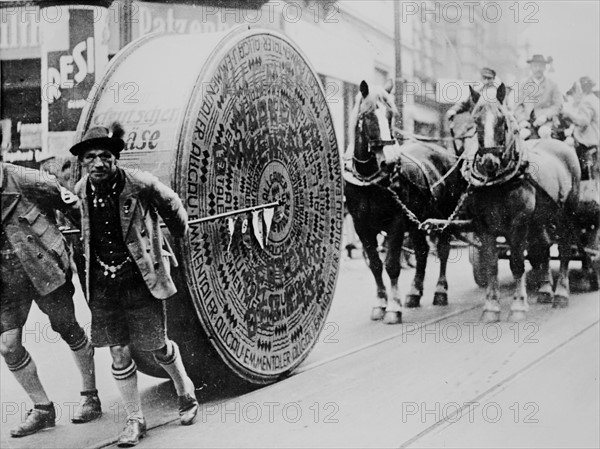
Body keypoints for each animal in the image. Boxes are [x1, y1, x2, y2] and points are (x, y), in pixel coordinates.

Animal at [344, 80, 466, 324]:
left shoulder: (396, 222)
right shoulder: (362, 226)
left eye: (391, 115)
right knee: (421, 252)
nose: (390, 162)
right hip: (419, 222)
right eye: (367, 115)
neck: (370, 181)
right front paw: (380, 304)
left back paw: (440, 291)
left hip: (444, 218)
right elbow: (375, 264)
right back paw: (414, 293)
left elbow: (391, 264)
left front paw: (393, 308)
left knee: (443, 250)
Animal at [464, 83, 580, 322]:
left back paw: (561, 294)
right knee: (542, 248)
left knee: (564, 248)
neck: (497, 182)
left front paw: (518, 306)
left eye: (502, 120)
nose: (489, 162)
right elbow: (491, 265)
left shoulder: (518, 222)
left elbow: (516, 263)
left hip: (566, 214)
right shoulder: (482, 225)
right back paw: (545, 291)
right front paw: (491, 308)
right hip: (539, 219)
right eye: (476, 120)